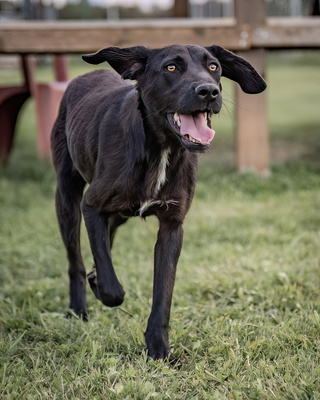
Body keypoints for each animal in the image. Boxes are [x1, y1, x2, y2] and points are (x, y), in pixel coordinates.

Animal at [51, 44, 266, 362]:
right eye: (171, 68)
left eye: (214, 67)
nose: (209, 91)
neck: (162, 149)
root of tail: (86, 76)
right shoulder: (91, 205)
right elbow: (112, 286)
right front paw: (103, 289)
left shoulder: (172, 227)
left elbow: (163, 293)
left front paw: (159, 349)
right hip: (68, 198)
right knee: (75, 260)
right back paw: (78, 309)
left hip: (118, 214)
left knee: (103, 241)